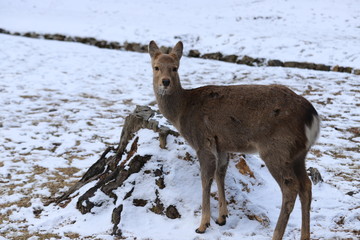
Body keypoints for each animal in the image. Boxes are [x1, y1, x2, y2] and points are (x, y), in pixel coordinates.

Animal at [148, 40, 320, 239]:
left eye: (175, 68)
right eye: (156, 67)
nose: (165, 82)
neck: (182, 113)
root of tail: (312, 116)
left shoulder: (203, 142)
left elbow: (205, 179)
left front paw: (203, 224)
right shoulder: (221, 145)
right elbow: (220, 174)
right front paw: (222, 217)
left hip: (277, 149)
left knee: (290, 188)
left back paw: (276, 235)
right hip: (299, 154)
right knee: (306, 185)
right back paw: (305, 236)